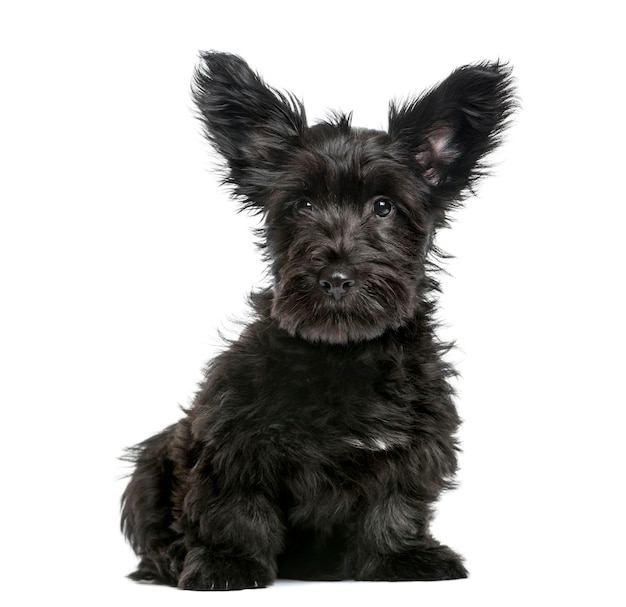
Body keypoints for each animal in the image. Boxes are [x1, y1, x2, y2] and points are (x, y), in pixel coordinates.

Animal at [120, 51, 512, 588]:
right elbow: (232, 507)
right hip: (150, 462)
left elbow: (396, 504)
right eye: (302, 205)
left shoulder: (414, 442)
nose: (336, 278)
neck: (341, 351)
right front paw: (227, 562)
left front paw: (400, 557)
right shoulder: (231, 436)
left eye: (383, 206)